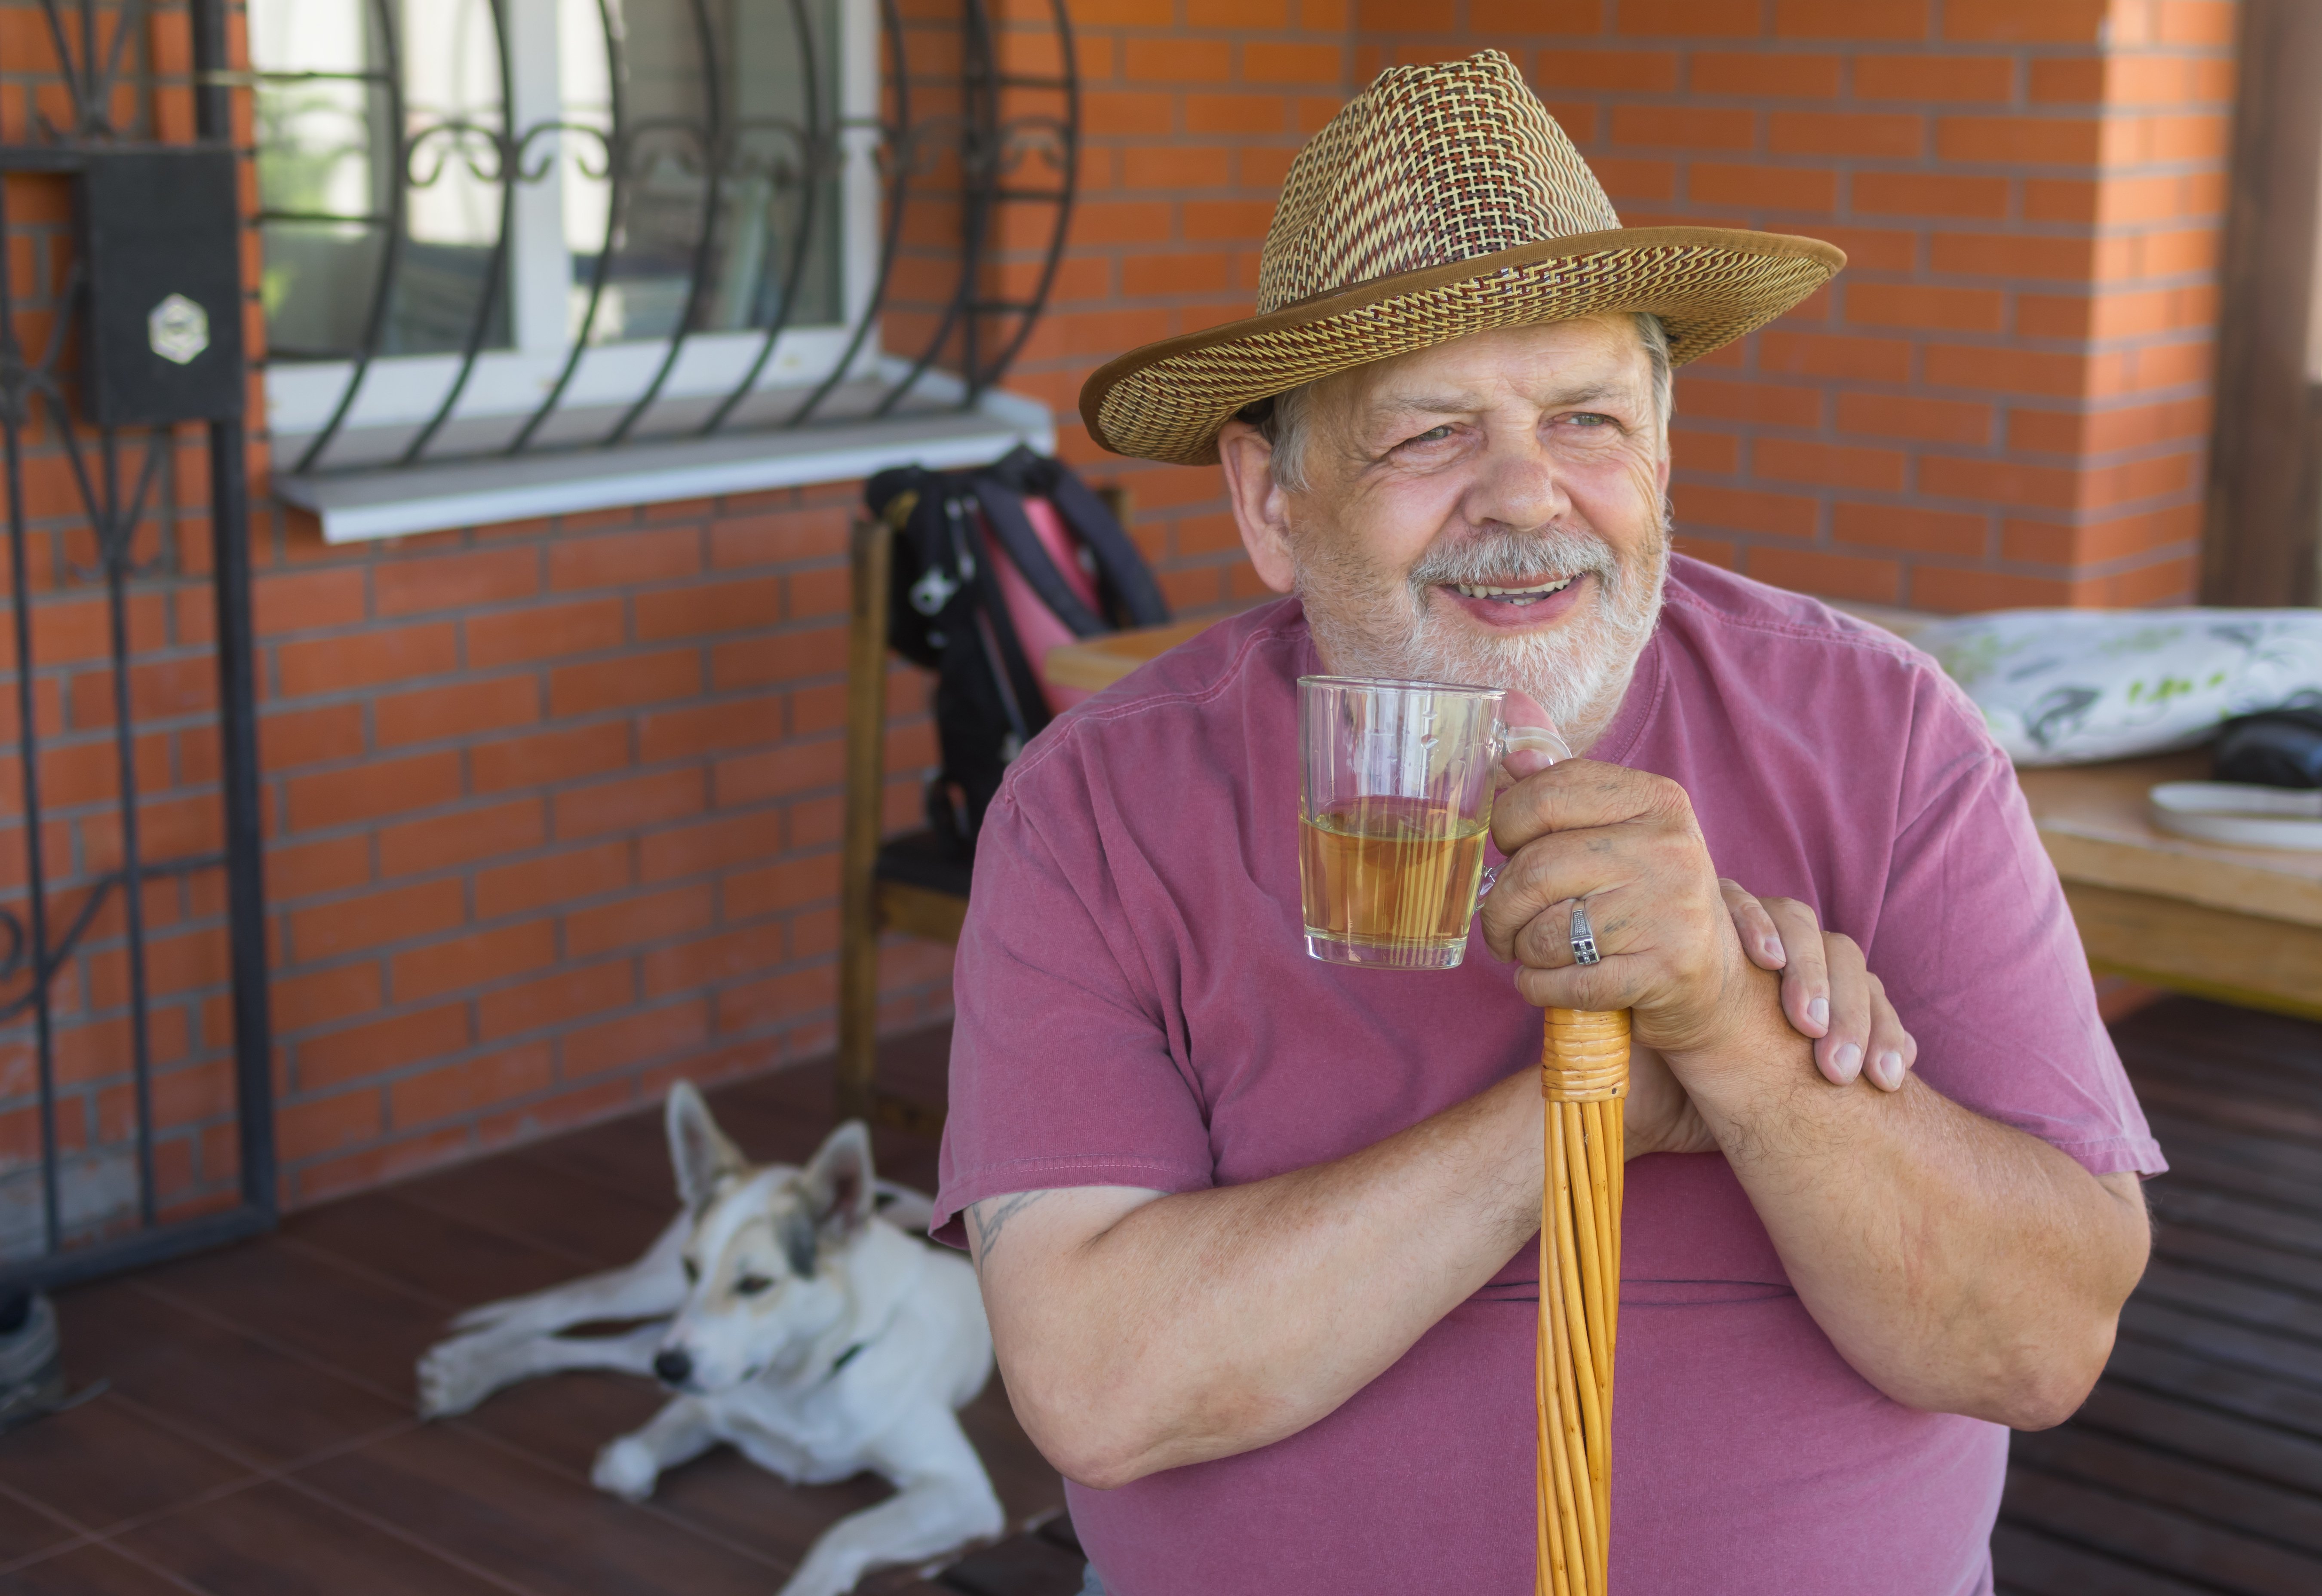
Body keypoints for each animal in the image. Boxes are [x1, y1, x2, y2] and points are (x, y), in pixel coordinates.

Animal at [422, 1087, 1003, 1596]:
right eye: (694, 1266)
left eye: (756, 1283)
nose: (671, 1369)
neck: (803, 1380)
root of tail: (778, 1166)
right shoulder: (700, 1399)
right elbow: (625, 1460)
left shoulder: (960, 1491)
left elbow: (841, 1532)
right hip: (656, 1294)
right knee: (568, 1304)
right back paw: (462, 1366)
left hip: (658, 1332)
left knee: (580, 1344)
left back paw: (465, 1372)